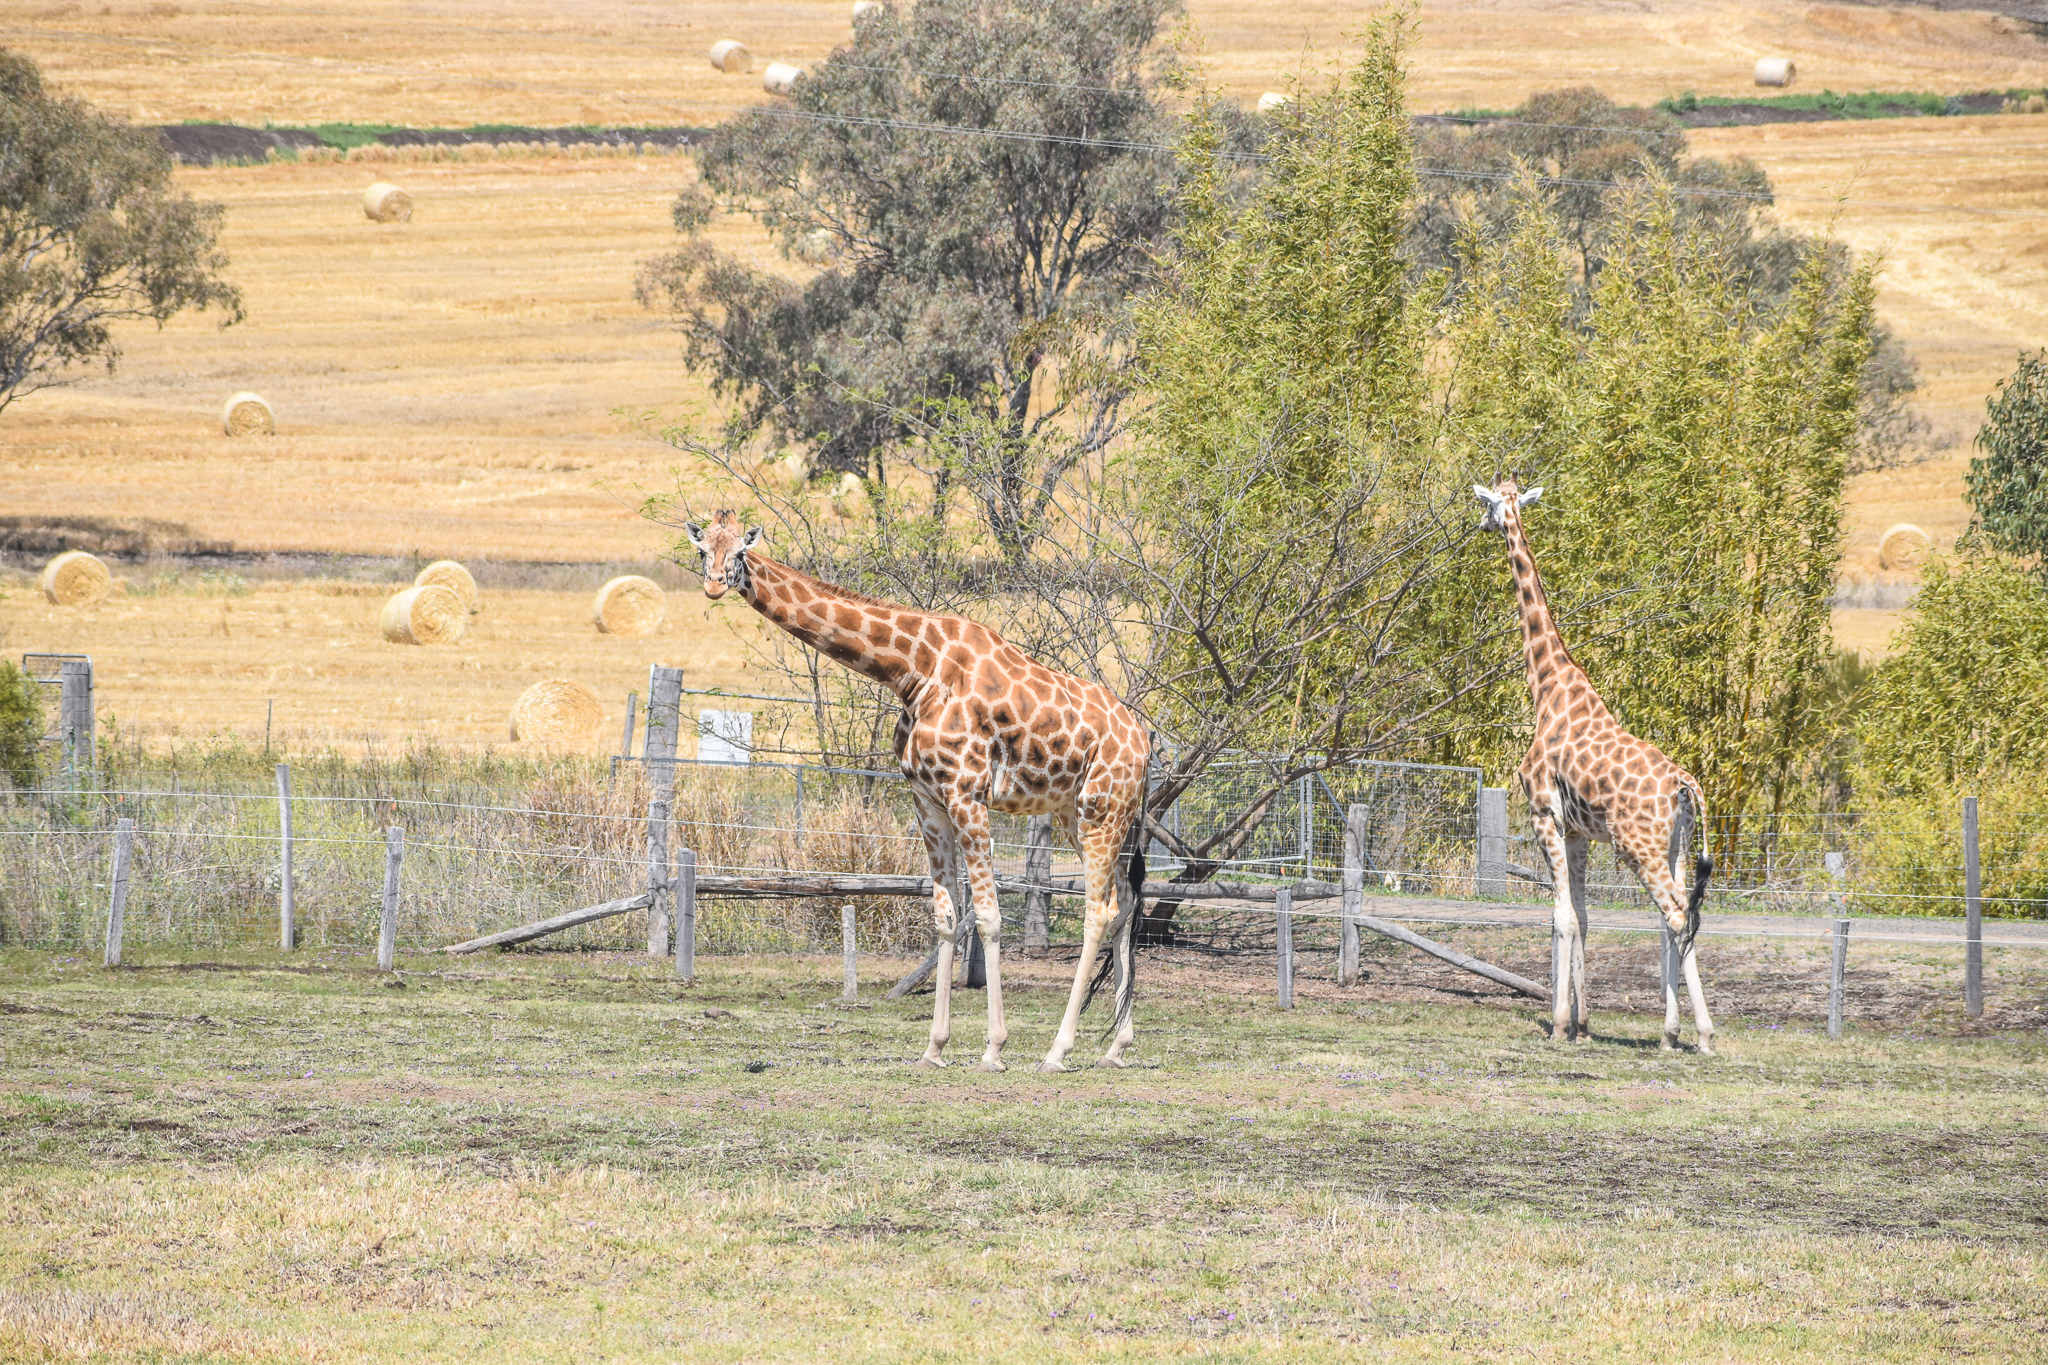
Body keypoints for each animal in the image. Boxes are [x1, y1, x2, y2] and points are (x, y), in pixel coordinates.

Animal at [684, 511, 1152, 1071]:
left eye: (739, 554)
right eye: (702, 550)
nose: (713, 585)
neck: (912, 670)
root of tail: (1145, 740)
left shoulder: (967, 792)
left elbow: (988, 917)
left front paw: (993, 1048)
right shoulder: (927, 798)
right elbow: (946, 916)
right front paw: (934, 1047)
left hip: (1102, 809)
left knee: (1099, 910)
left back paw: (1058, 1051)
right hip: (1079, 812)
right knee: (1125, 900)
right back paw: (1117, 1047)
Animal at [1473, 478, 1716, 1053]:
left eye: (1489, 503)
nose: (1481, 525)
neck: (1547, 687)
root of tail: (1685, 783)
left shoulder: (1544, 813)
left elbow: (1560, 916)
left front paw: (1560, 1024)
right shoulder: (1580, 831)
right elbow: (1583, 916)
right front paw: (1582, 1026)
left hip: (1638, 845)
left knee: (1676, 914)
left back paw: (1698, 1031)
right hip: (1675, 845)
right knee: (1679, 916)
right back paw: (1673, 1033)